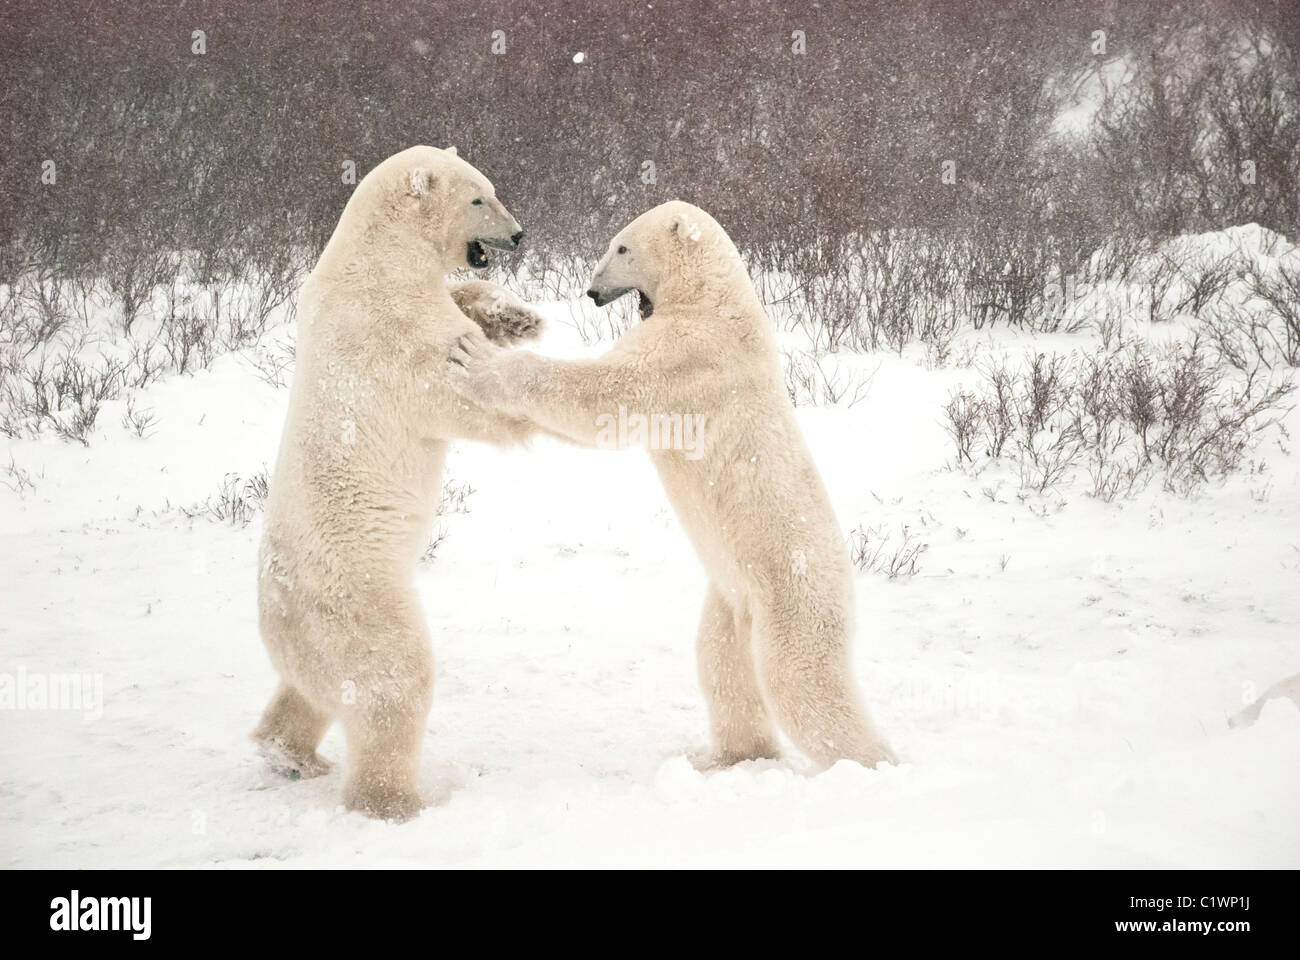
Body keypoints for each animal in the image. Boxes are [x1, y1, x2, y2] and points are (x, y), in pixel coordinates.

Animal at [253, 141, 543, 816]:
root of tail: (276, 603)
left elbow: (463, 302)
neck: (378, 258)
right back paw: (395, 802)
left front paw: (515, 316)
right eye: (478, 197)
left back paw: (289, 755)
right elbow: (457, 395)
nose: (518, 233)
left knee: (308, 693)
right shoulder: (391, 332)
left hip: (312, 637)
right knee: (392, 685)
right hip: (359, 602)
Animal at [447, 197, 894, 764]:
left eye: (621, 247)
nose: (591, 292)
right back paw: (733, 756)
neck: (715, 298)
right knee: (722, 663)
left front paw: (478, 359)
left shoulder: (686, 353)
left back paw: (872, 761)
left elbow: (602, 396)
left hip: (793, 600)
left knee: (804, 685)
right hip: (731, 595)